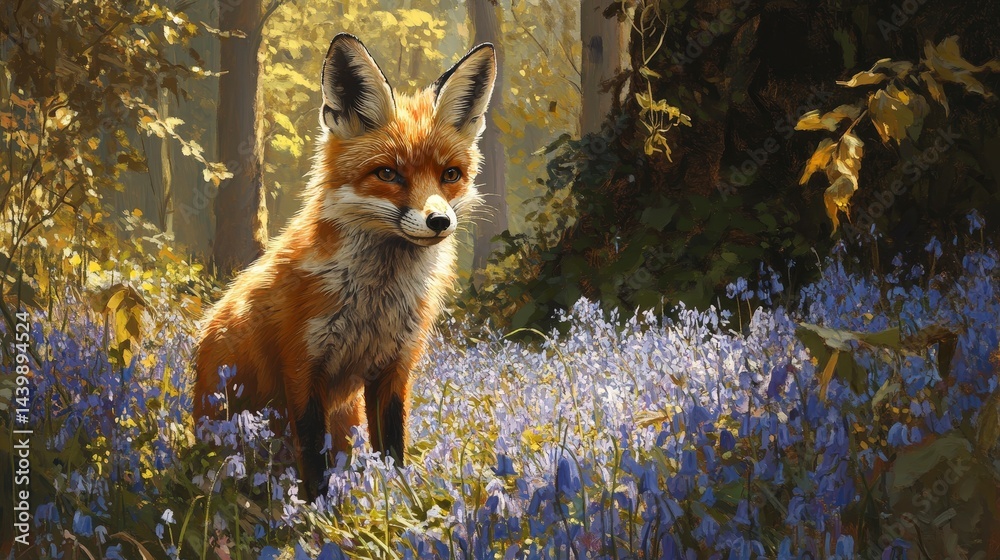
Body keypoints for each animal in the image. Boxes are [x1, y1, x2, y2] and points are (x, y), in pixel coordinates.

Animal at [194, 33, 496, 501]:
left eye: (450, 174)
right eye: (387, 173)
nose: (440, 222)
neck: (374, 303)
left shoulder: (395, 369)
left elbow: (393, 449)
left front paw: (399, 502)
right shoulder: (302, 368)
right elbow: (313, 458)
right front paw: (318, 510)